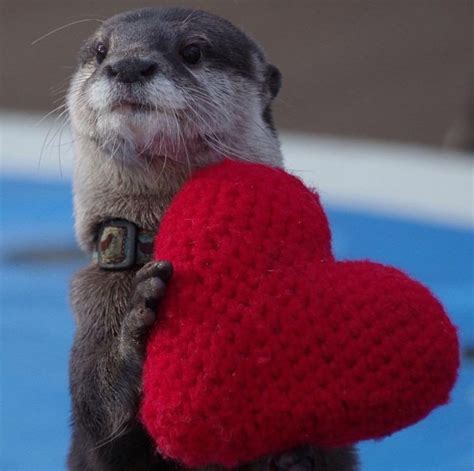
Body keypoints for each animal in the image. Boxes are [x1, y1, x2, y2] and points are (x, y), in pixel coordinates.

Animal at [66, 7, 360, 471]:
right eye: (100, 51)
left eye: (192, 51)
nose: (128, 65)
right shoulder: (91, 321)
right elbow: (101, 418)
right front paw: (139, 321)